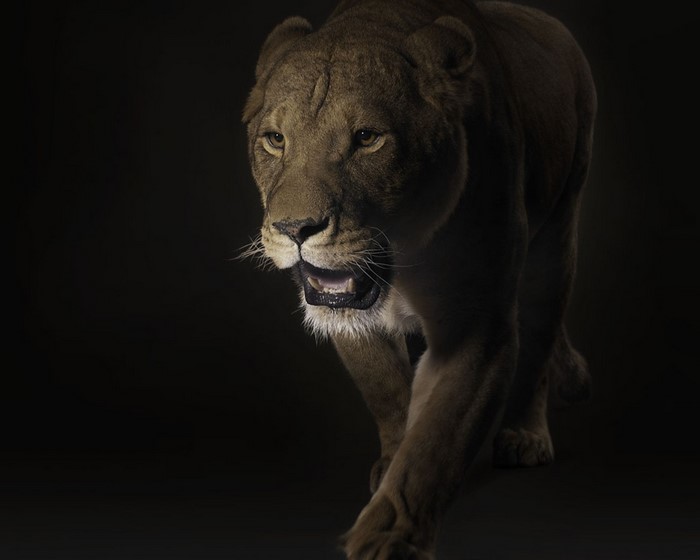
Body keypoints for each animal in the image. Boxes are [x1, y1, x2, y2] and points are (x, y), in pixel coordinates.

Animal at [242, 0, 596, 557]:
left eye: (367, 139)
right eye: (275, 140)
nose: (294, 229)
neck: (402, 260)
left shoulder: (476, 327)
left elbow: (436, 440)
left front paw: (388, 537)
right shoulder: (353, 322)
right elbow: (388, 394)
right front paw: (390, 462)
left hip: (558, 233)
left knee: (540, 337)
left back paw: (525, 436)